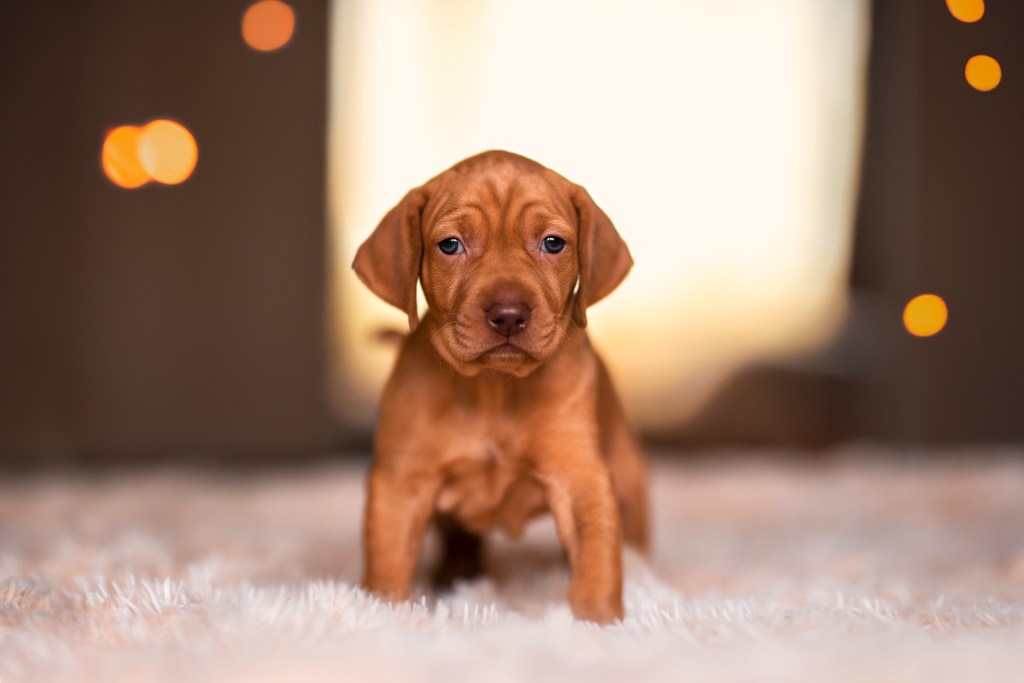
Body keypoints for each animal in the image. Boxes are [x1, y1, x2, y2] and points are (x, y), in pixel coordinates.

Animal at [352, 149, 647, 626]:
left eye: (553, 243)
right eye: (450, 245)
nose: (508, 314)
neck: (495, 388)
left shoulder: (581, 478)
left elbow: (598, 559)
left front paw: (597, 621)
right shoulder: (401, 483)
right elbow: (388, 565)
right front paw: (385, 614)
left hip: (630, 485)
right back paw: (455, 574)